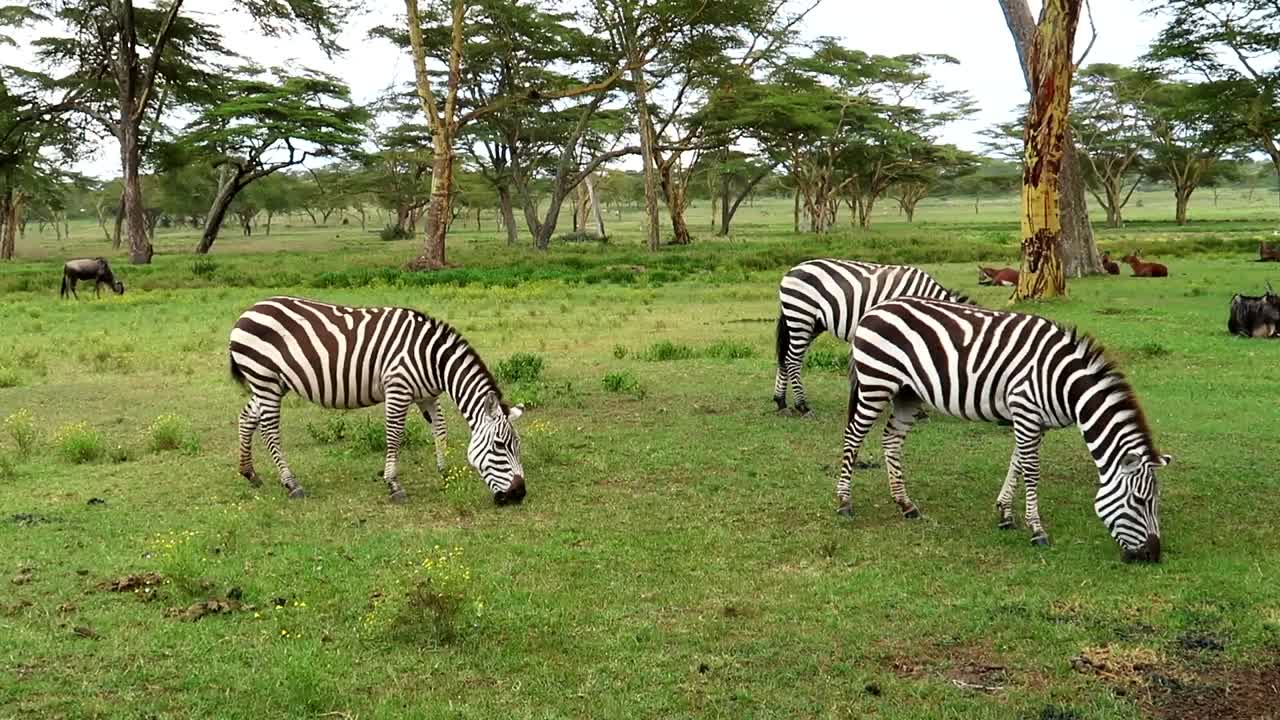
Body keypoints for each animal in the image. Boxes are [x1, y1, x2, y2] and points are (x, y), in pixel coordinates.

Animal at [228, 296, 526, 505]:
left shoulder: (427, 395)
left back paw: (249, 473)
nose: (519, 494)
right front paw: (394, 485)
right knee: (270, 431)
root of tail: (248, 311)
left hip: (271, 384)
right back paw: (291, 483)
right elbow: (394, 436)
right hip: (265, 379)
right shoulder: (398, 388)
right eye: (500, 446)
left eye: (517, 446)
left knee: (247, 417)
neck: (433, 359)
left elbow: (440, 429)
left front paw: (444, 471)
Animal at [774, 259, 968, 415]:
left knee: (786, 357)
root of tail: (792, 270)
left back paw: (781, 402)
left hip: (811, 323)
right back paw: (802, 406)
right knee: (792, 360)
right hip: (801, 316)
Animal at [835, 297, 1168, 562]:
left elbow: (1017, 462)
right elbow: (1031, 470)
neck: (1062, 382)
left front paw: (1005, 514)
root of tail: (876, 308)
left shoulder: (1035, 421)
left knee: (891, 440)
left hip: (907, 393)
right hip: (876, 383)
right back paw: (844, 502)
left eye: (1155, 502)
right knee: (853, 436)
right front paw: (1037, 530)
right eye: (1140, 501)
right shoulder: (1026, 410)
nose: (1153, 555)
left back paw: (906, 505)